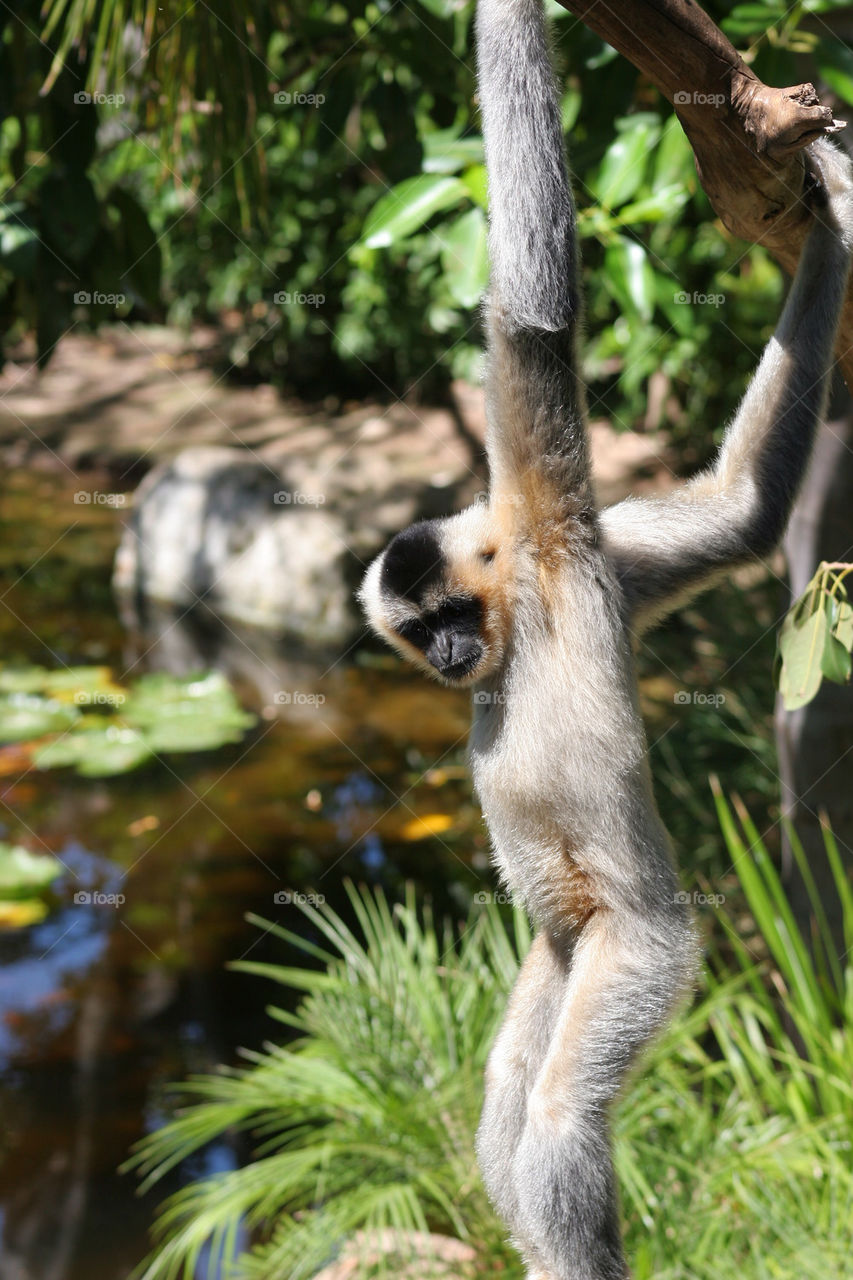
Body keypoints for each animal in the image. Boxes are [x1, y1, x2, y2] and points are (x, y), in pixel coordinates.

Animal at [358, 0, 853, 1274]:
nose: (447, 657)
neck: (517, 618)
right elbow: (741, 512)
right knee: (503, 1102)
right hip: (557, 946)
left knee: (552, 1118)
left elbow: (531, 313)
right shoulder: (614, 558)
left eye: (451, 614)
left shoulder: (557, 530)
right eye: (417, 629)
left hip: (638, 947)